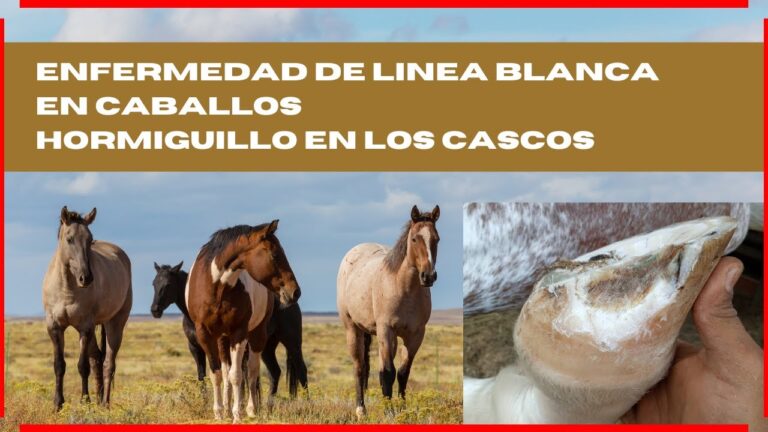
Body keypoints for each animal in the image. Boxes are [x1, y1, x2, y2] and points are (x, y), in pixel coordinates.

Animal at [42, 206, 133, 410]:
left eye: (90, 239)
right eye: (69, 239)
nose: (86, 278)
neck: (67, 288)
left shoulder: (85, 327)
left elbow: (83, 366)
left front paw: (85, 401)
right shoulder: (54, 327)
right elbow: (59, 365)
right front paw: (58, 404)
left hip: (115, 323)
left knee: (108, 363)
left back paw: (105, 403)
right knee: (97, 358)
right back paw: (99, 400)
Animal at [151, 261, 308, 397]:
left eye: (168, 284)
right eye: (154, 283)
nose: (155, 310)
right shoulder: (195, 348)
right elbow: (202, 376)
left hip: (292, 342)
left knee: (302, 370)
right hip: (267, 347)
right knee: (275, 372)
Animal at [186, 220, 300, 423]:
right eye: (275, 254)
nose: (295, 291)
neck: (217, 288)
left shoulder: (239, 333)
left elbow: (237, 375)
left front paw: (237, 414)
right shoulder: (205, 334)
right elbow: (217, 374)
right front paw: (219, 413)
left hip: (257, 335)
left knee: (252, 371)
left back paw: (250, 409)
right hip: (222, 339)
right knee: (227, 372)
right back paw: (227, 406)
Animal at [337, 204, 440, 418]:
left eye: (437, 239)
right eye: (414, 238)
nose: (428, 276)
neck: (404, 288)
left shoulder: (415, 335)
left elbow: (402, 372)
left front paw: (402, 410)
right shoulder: (387, 330)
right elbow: (388, 373)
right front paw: (389, 412)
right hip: (353, 329)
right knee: (359, 368)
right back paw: (361, 410)